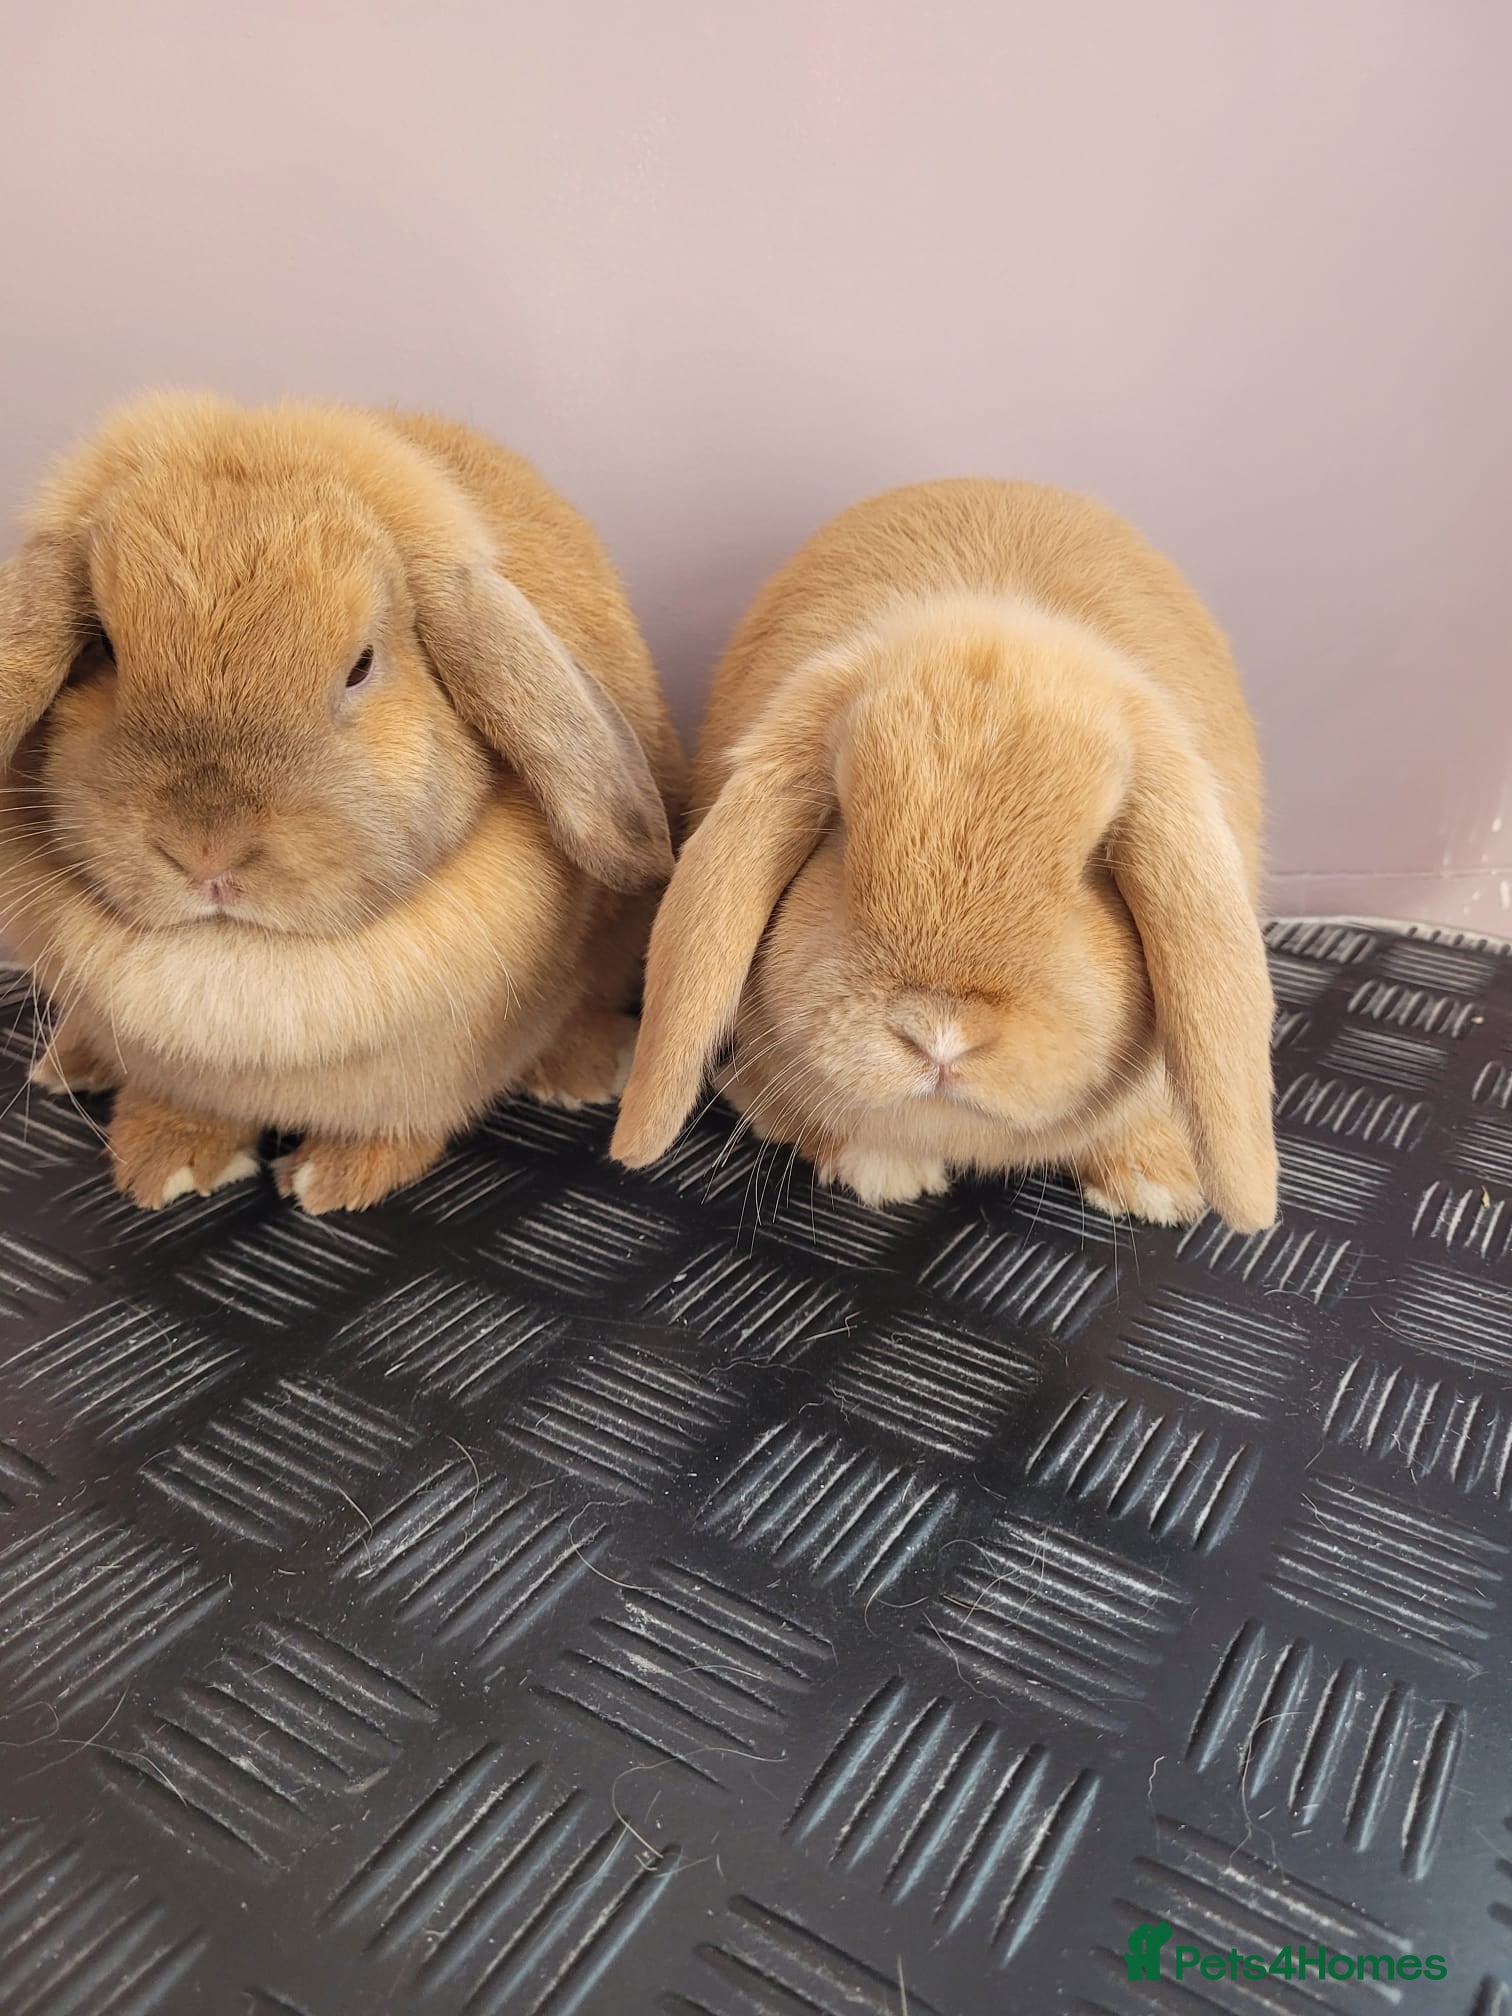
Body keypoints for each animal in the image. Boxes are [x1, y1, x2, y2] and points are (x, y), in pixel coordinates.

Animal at [0, 393, 686, 1212]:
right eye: (102, 648)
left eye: (361, 665)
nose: (206, 850)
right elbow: (183, 1103)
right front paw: (167, 1157)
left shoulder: (431, 1078)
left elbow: (403, 1123)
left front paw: (337, 1177)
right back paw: (69, 1062)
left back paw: (587, 1068)